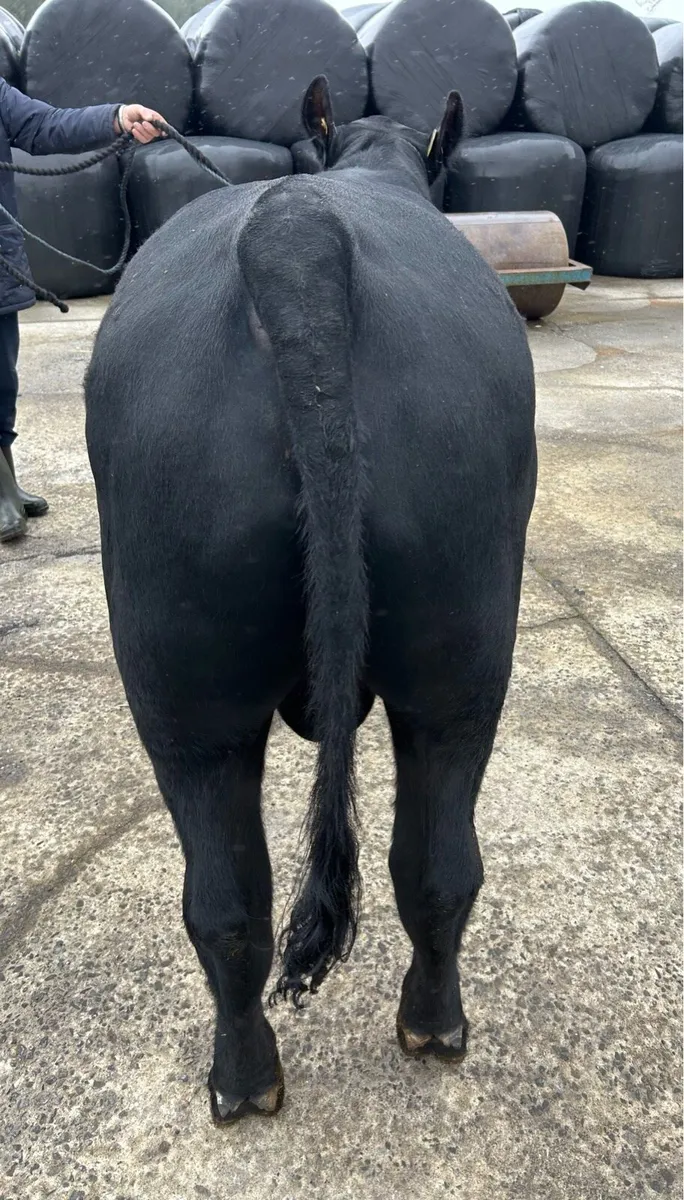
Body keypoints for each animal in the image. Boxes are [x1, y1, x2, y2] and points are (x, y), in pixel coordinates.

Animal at [84, 77, 536, 1125]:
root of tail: (296, 235)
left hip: (197, 689)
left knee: (238, 900)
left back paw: (255, 1073)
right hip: (453, 662)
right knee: (423, 866)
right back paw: (415, 1030)